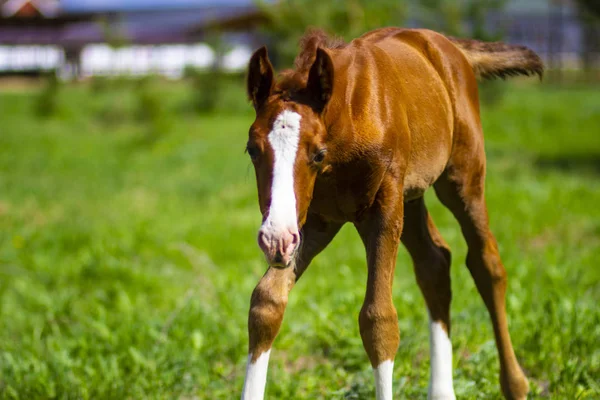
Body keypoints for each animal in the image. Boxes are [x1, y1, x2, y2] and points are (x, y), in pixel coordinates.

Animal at [240, 28, 544, 400]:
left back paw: (515, 384)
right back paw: (442, 391)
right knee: (435, 262)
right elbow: (266, 302)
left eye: (317, 154)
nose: (274, 238)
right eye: (252, 150)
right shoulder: (315, 221)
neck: (346, 120)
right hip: (409, 199)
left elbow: (379, 320)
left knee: (486, 264)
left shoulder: (381, 210)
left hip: (462, 179)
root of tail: (446, 44)